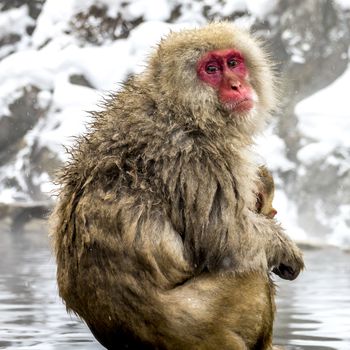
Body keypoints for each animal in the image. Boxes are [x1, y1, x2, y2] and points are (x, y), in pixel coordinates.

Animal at [51, 22, 304, 350]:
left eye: (233, 62)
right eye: (211, 69)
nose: (237, 85)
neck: (183, 107)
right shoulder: (198, 157)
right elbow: (227, 236)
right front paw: (286, 248)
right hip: (213, 321)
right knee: (247, 266)